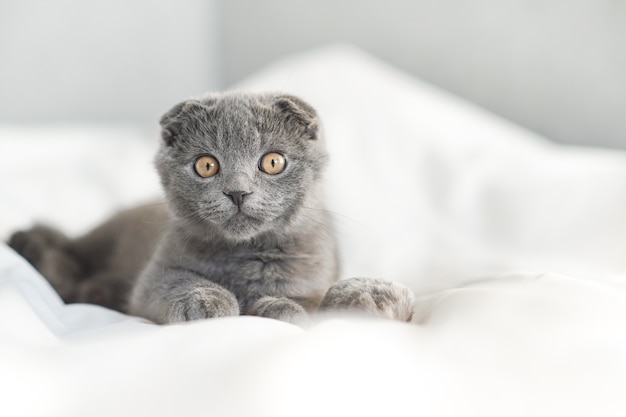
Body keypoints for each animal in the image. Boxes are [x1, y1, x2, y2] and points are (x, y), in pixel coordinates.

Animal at [8, 92, 414, 324]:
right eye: (206, 165)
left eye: (272, 162)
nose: (238, 192)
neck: (244, 256)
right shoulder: (154, 276)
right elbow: (174, 283)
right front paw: (206, 301)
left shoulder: (314, 274)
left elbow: (311, 300)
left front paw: (282, 307)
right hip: (102, 237)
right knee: (67, 247)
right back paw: (37, 250)